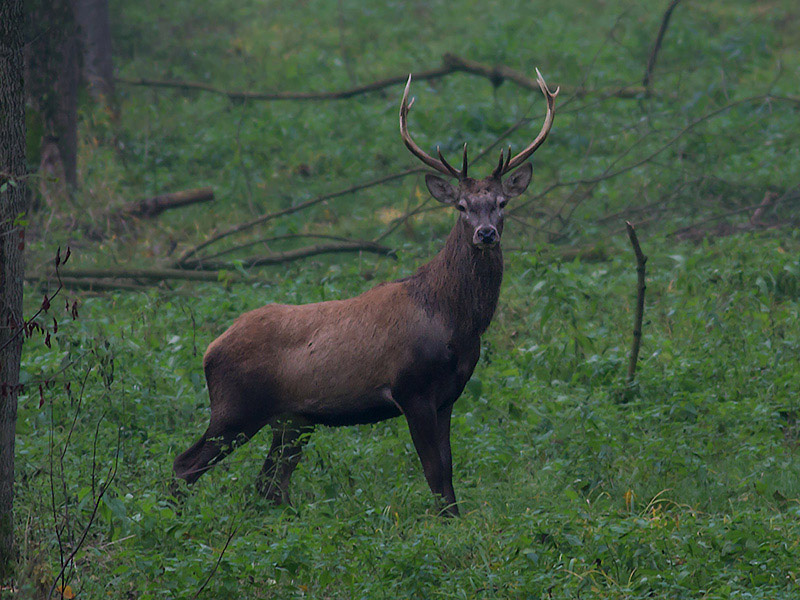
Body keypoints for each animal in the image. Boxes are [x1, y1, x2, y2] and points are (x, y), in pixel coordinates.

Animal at [174, 67, 560, 516]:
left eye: (501, 203)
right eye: (461, 206)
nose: (485, 234)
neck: (452, 321)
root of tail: (210, 348)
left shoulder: (449, 394)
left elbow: (448, 472)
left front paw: (457, 520)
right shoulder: (410, 388)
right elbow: (435, 473)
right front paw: (447, 525)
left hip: (292, 419)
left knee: (269, 482)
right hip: (236, 407)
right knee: (185, 465)